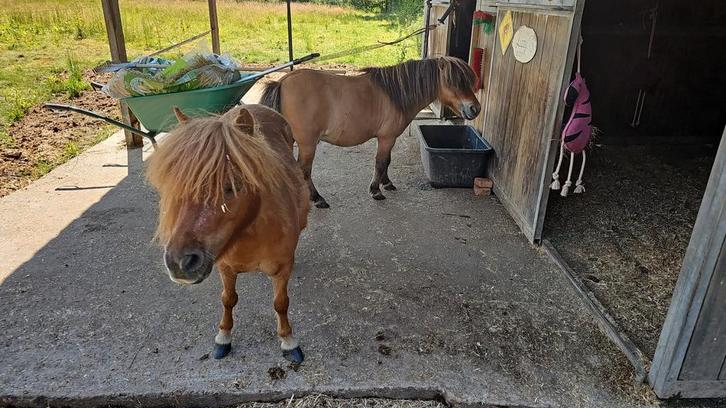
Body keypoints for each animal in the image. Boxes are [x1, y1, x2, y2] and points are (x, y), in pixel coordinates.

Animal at [146, 104, 310, 363]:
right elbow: (228, 299)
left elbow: (281, 303)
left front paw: (288, 340)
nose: (180, 263)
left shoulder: (282, 269)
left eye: (231, 186)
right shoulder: (225, 267)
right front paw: (223, 336)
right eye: (174, 185)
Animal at [261, 56, 480, 208]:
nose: (475, 109)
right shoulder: (386, 138)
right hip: (307, 145)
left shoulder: (388, 139)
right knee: (304, 171)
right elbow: (381, 162)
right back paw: (317, 199)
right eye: (454, 82)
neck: (396, 93)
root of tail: (282, 82)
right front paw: (376, 190)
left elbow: (387, 161)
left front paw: (387, 183)